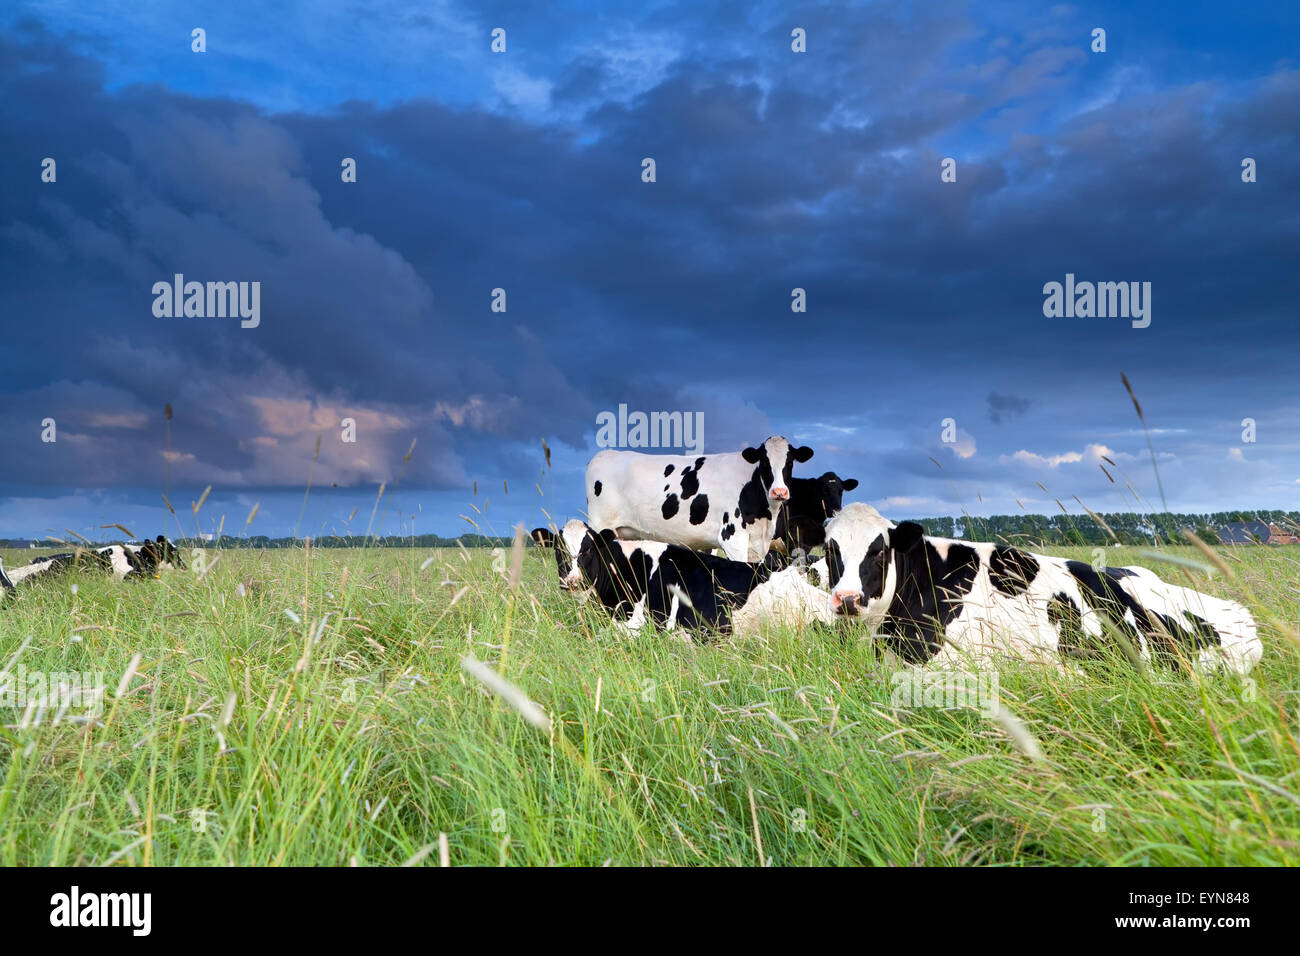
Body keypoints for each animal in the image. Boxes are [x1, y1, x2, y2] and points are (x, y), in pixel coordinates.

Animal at [585, 436, 815, 563]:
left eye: (790, 462)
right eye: (765, 463)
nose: (779, 492)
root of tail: (604, 454)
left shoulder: (759, 544)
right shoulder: (733, 539)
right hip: (599, 527)